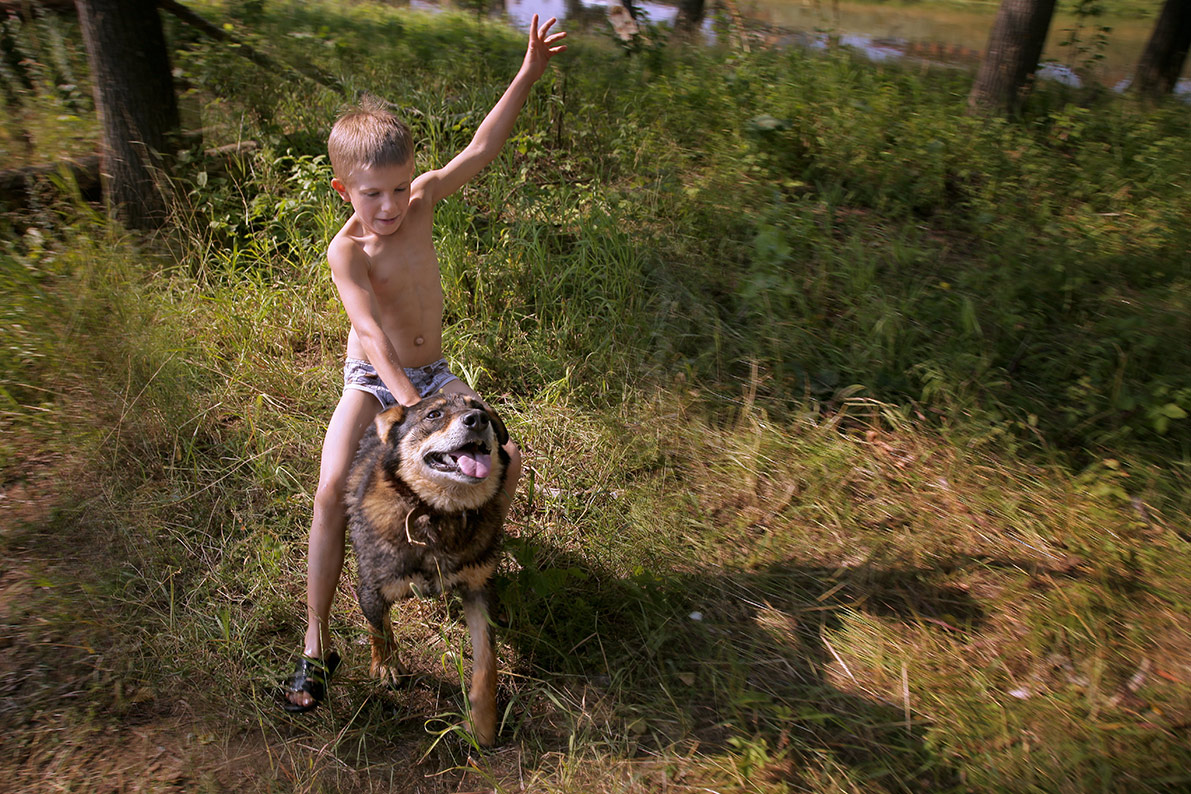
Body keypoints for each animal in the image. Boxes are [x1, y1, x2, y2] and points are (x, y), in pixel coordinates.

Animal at [347, 395, 509, 747]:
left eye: (480, 407)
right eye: (433, 414)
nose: (477, 419)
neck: (437, 514)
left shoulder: (479, 590)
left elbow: (486, 661)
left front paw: (482, 721)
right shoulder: (371, 588)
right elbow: (379, 628)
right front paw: (385, 665)